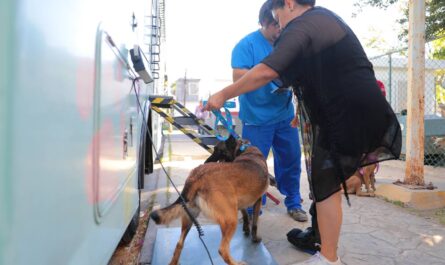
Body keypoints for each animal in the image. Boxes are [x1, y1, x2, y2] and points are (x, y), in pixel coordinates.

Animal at [149, 136, 268, 264]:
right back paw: (237, 263)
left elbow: (245, 214)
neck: (243, 149)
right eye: (215, 149)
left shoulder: (240, 203)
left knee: (179, 244)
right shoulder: (258, 201)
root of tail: (197, 176)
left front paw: (246, 228)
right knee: (223, 250)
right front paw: (254, 238)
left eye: (219, 150)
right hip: (231, 219)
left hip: (190, 217)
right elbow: (255, 223)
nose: (206, 162)